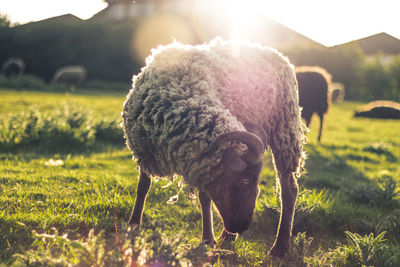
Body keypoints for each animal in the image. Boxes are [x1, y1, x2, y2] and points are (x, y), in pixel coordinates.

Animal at [122, 38, 306, 258]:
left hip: (285, 130)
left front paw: (207, 239)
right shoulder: (145, 150)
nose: (242, 227)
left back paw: (279, 246)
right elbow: (143, 187)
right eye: (245, 181)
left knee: (289, 189)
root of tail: (276, 52)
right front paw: (134, 224)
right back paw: (228, 237)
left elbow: (204, 198)